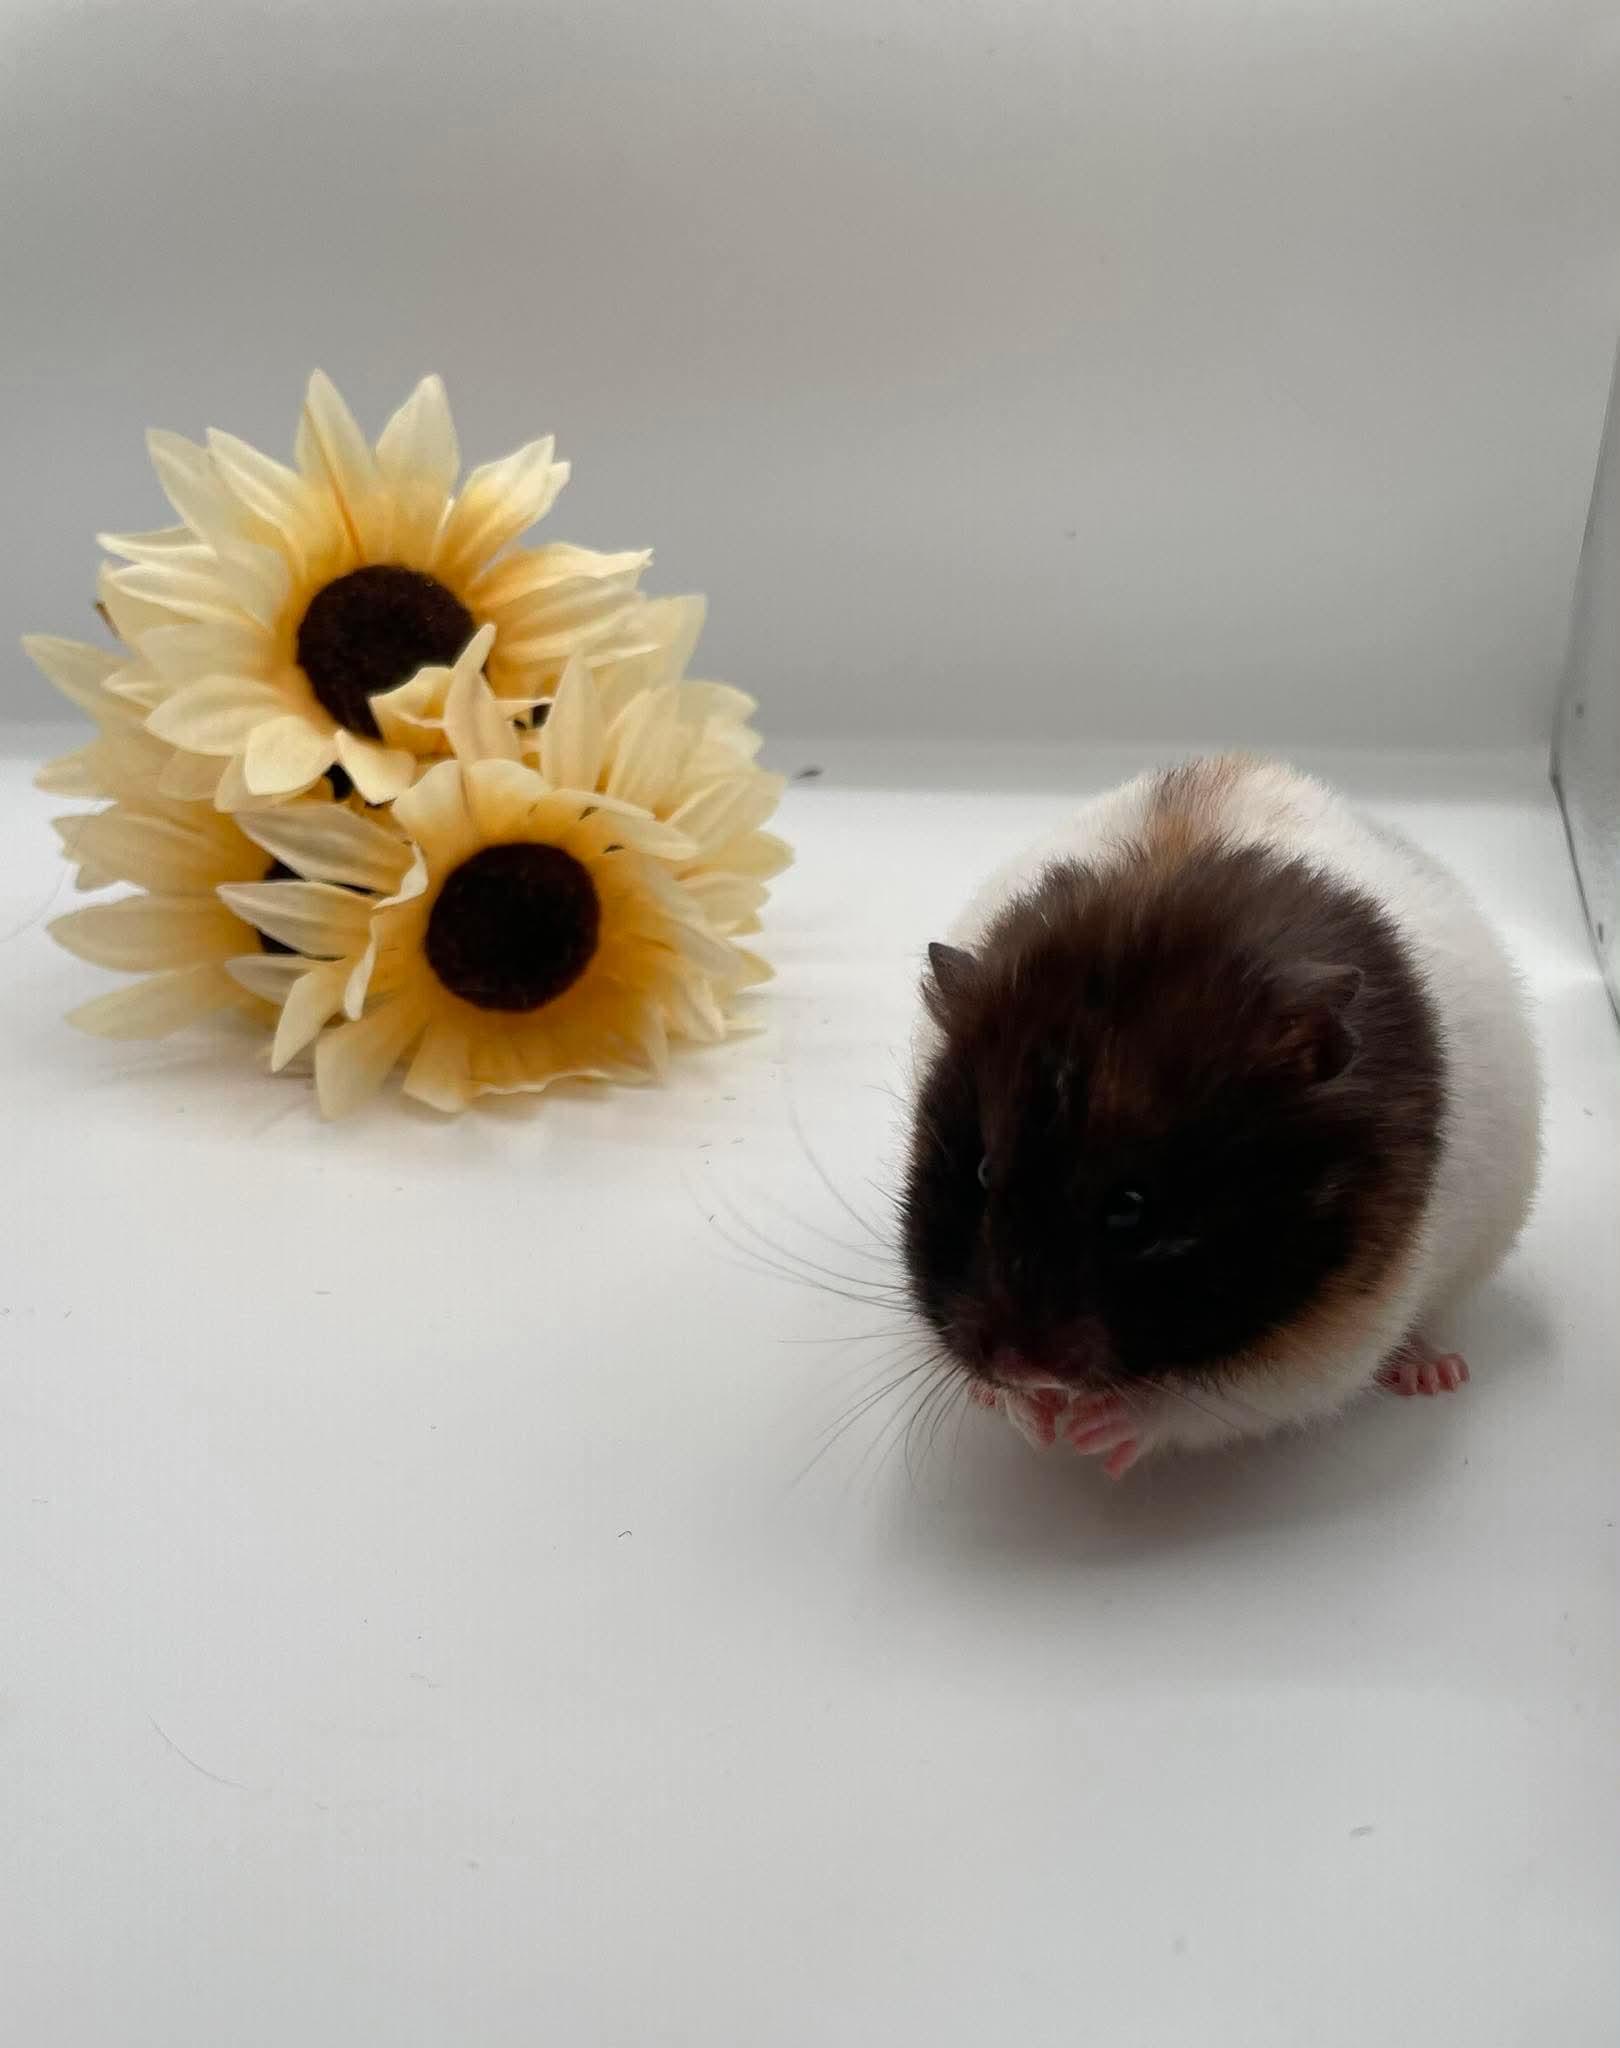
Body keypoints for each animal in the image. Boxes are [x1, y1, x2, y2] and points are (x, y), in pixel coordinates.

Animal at [900, 756, 1541, 1475]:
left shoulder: (1339, 1329)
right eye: (981, 1173)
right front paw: (1028, 1414)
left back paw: (1435, 1374)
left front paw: (1092, 1430)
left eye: (1132, 1206)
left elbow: (1214, 1401)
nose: (1025, 1370)